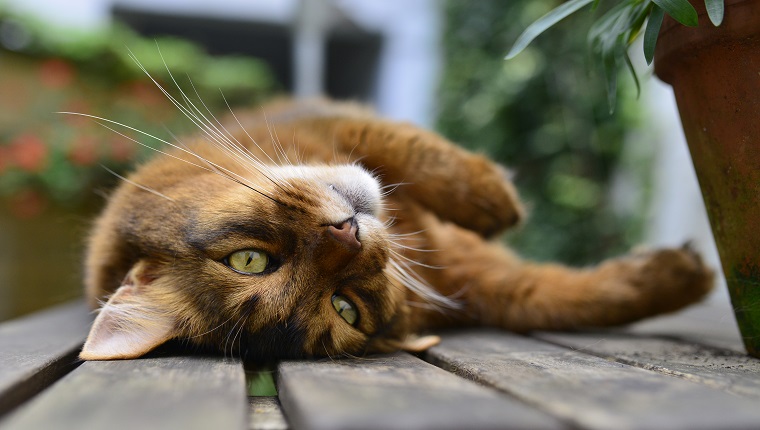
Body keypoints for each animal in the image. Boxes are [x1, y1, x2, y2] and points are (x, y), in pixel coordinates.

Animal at [80, 96, 716, 360]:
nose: (348, 233)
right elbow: (558, 300)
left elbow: (406, 147)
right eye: (345, 308)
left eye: (248, 259)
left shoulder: (327, 119)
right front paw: (686, 278)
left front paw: (493, 201)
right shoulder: (480, 285)